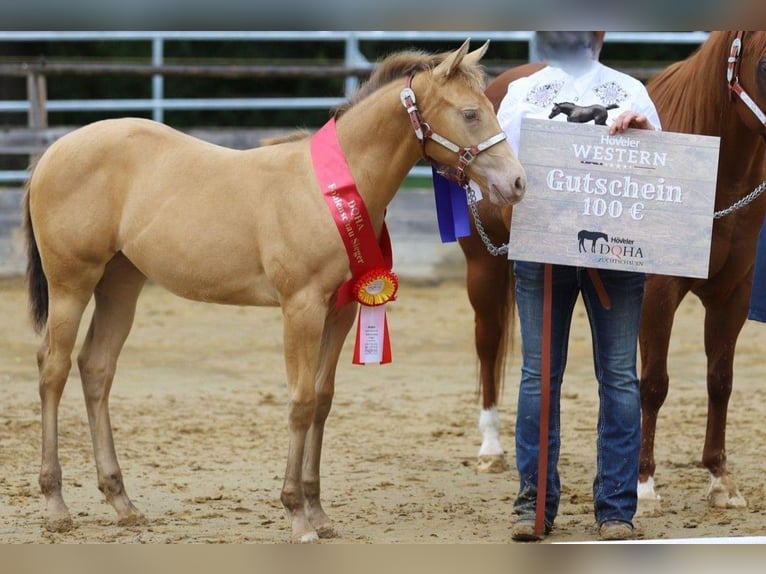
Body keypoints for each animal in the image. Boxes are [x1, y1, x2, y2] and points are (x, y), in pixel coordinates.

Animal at [23, 40, 527, 543]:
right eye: (470, 113)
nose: (517, 183)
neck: (329, 190)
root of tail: (53, 152)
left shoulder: (340, 312)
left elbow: (322, 401)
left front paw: (319, 512)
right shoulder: (300, 307)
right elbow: (300, 402)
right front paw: (296, 515)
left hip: (120, 284)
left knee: (96, 368)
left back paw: (121, 501)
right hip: (72, 283)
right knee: (53, 369)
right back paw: (56, 504)